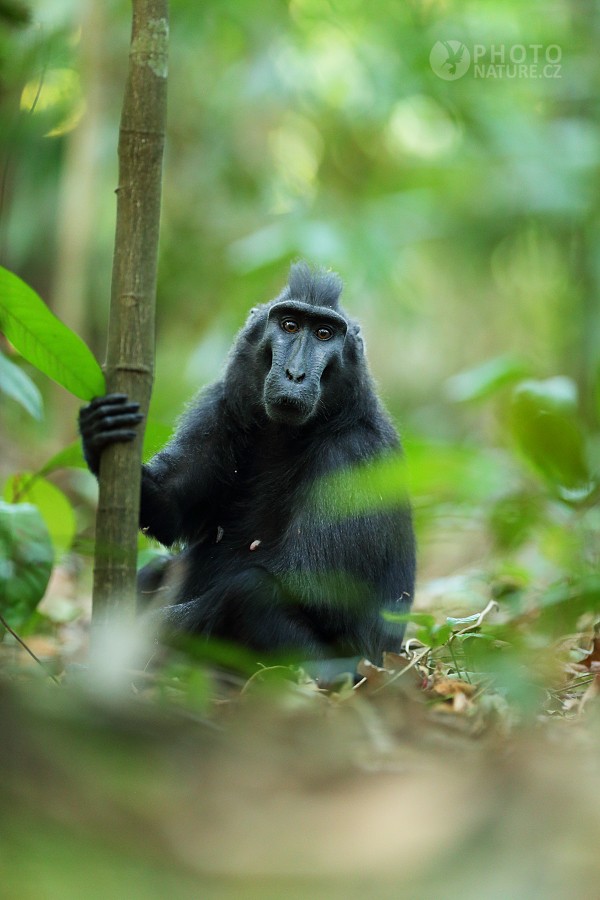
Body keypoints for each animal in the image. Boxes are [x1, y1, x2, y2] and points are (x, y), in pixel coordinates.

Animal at [79, 264, 414, 664]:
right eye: (289, 325)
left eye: (323, 334)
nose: (295, 375)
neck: (287, 432)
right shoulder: (221, 407)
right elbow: (170, 507)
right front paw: (97, 430)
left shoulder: (353, 455)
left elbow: (312, 584)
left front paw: (132, 637)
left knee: (251, 593)